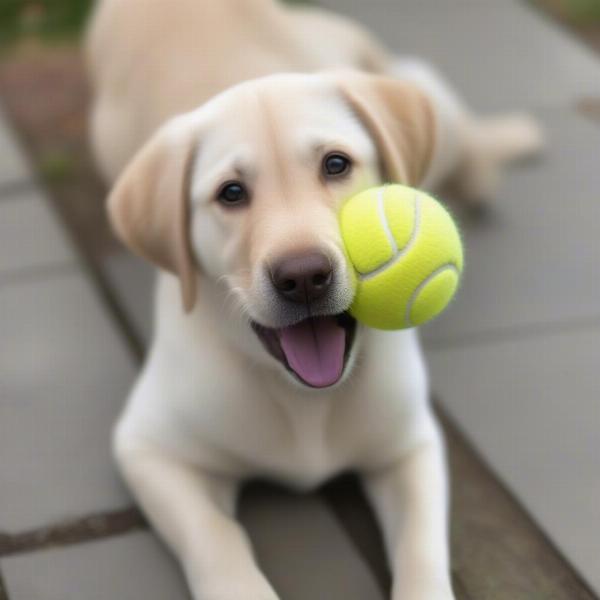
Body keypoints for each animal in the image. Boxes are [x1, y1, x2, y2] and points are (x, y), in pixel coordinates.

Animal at [86, 2, 540, 596]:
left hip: (411, 79)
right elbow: (216, 536)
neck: (305, 398)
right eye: (231, 193)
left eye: (336, 165)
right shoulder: (149, 447)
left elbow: (421, 547)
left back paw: (501, 152)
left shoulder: (410, 444)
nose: (303, 276)